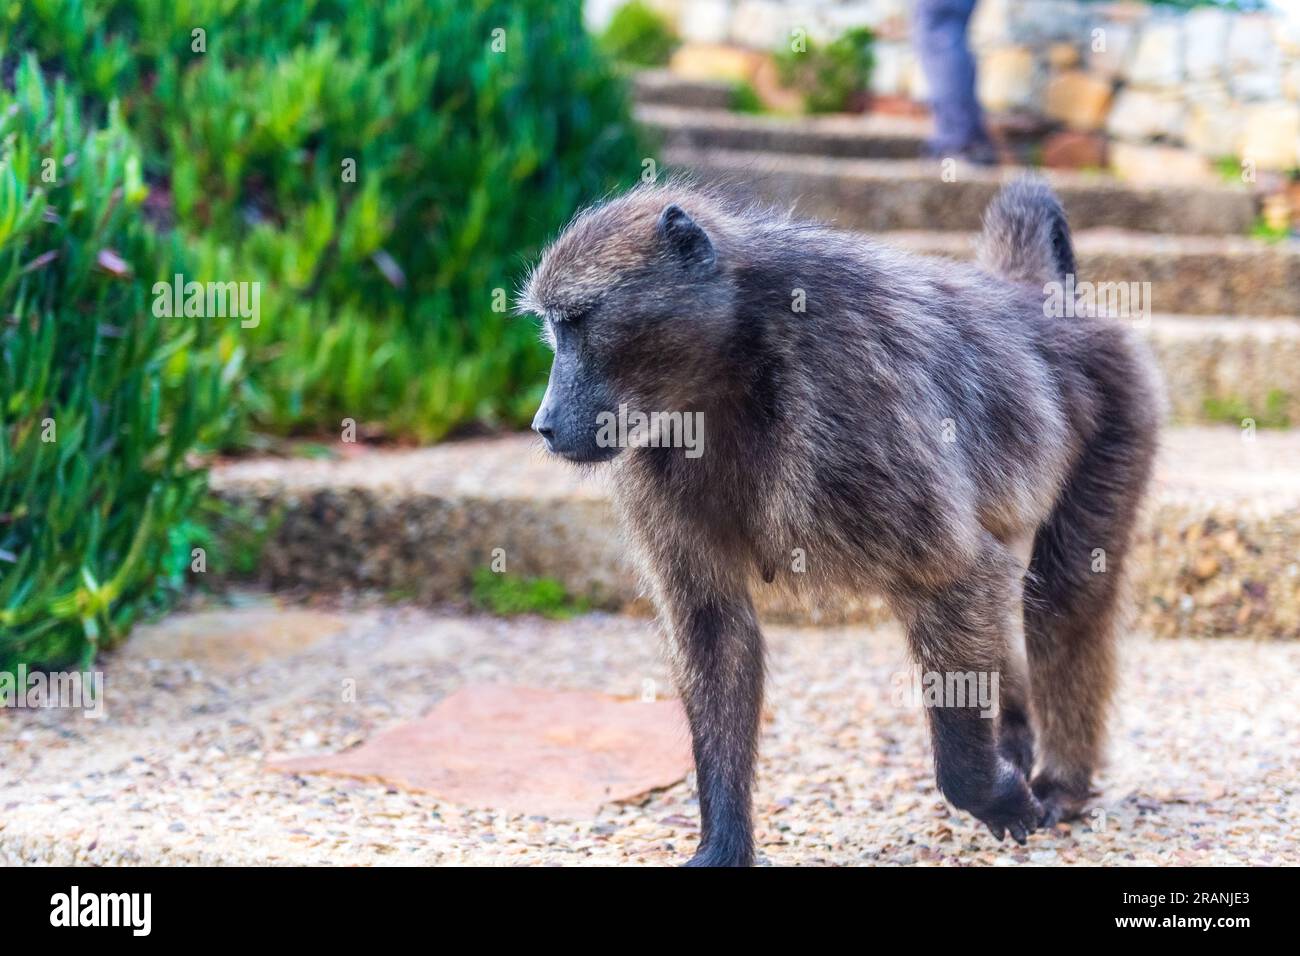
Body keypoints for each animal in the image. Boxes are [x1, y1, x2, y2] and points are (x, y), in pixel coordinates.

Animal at [519, 176, 1161, 867]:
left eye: (579, 322)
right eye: (556, 329)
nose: (544, 425)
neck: (730, 367)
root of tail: (1033, 295)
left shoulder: (851, 402)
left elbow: (952, 575)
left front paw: (988, 793)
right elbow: (715, 628)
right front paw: (722, 846)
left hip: (1121, 413)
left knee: (1066, 598)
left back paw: (1063, 782)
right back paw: (1014, 742)